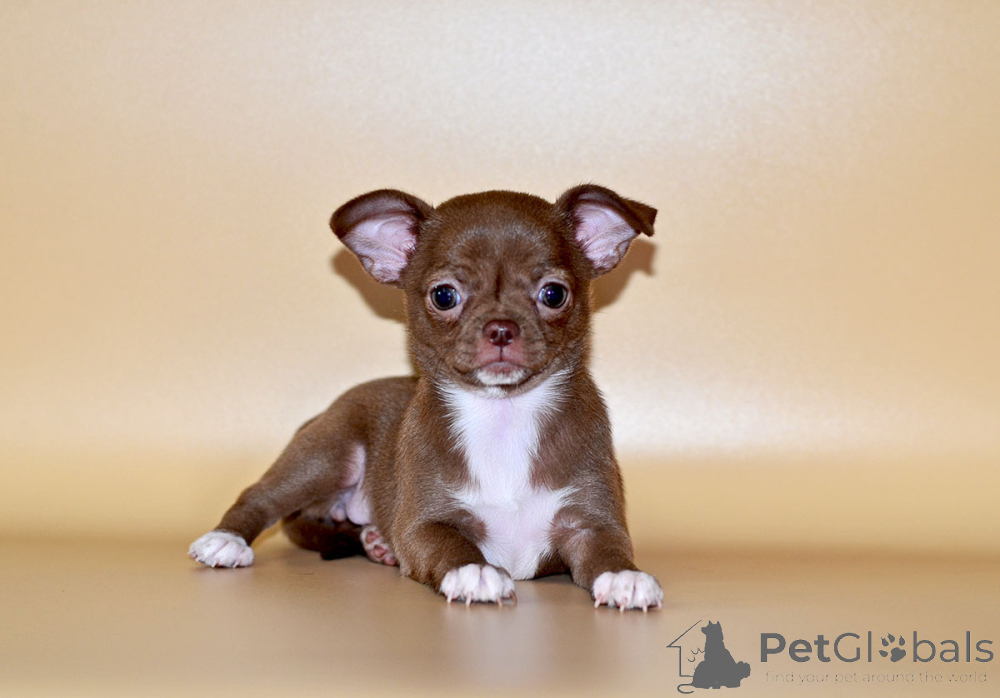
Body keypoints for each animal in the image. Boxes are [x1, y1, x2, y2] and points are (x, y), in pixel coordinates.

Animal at [189, 184, 663, 611]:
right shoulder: (425, 525)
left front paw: (625, 576)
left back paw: (376, 542)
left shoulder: (590, 524)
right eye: (444, 295)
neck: (503, 413)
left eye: (554, 294)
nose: (501, 328)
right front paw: (475, 570)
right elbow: (449, 544)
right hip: (327, 454)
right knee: (261, 496)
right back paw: (226, 539)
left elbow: (608, 549)